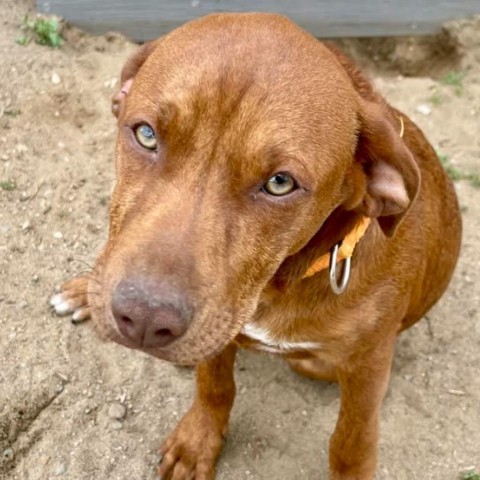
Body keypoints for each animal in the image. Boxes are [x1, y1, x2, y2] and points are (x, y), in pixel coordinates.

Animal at [49, 14, 462, 480]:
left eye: (280, 183)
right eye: (147, 135)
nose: (144, 320)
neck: (276, 285)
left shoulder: (367, 365)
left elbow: (351, 440)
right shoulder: (221, 325)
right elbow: (215, 384)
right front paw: (199, 441)